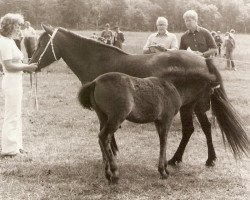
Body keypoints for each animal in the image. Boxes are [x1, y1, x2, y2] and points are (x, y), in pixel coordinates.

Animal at [29, 25, 248, 167]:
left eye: (42, 42)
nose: (32, 63)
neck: (98, 61)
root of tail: (203, 59)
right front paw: (111, 153)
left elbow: (104, 131)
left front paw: (109, 155)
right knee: (199, 128)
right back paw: (190, 159)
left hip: (192, 106)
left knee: (195, 129)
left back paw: (189, 159)